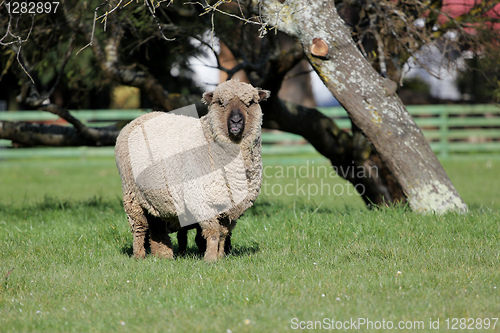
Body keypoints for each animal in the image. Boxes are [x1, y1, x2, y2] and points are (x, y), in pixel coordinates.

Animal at [114, 80, 270, 260]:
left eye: (250, 102)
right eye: (220, 103)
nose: (236, 121)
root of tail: (140, 117)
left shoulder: (231, 205)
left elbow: (223, 233)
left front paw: (220, 256)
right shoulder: (200, 199)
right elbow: (213, 231)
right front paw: (210, 259)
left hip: (154, 195)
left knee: (156, 226)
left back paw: (164, 255)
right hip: (131, 192)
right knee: (139, 226)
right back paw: (139, 256)